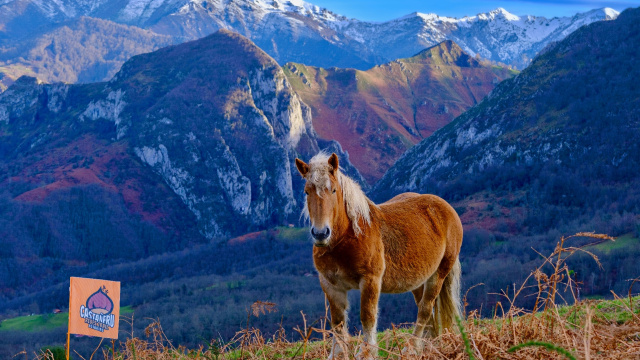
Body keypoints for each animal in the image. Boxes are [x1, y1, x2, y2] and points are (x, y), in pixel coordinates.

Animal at [296, 153, 464, 360]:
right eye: (307, 192)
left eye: (333, 190)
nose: (321, 234)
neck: (349, 237)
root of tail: (446, 208)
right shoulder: (330, 285)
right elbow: (337, 322)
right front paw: (337, 354)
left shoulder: (370, 281)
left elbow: (367, 317)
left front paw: (367, 352)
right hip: (419, 280)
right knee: (428, 314)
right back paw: (427, 347)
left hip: (438, 275)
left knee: (425, 310)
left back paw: (410, 348)